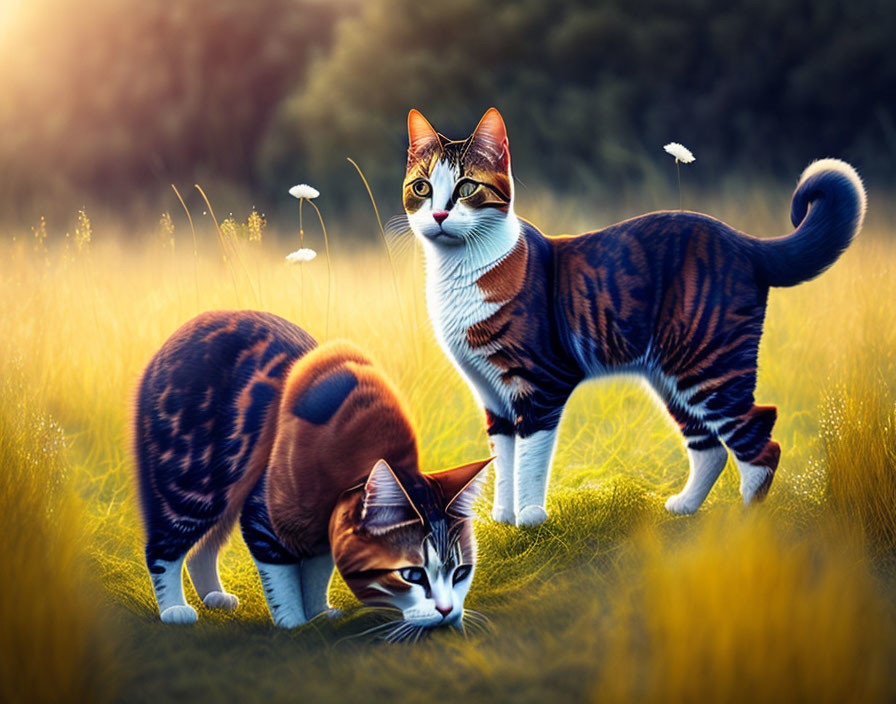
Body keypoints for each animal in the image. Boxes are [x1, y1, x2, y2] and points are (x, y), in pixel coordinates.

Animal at [135, 310, 490, 636]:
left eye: (461, 573)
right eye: (413, 575)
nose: (447, 612)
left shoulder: (322, 532)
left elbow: (316, 574)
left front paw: (318, 614)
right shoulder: (266, 516)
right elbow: (282, 577)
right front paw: (293, 622)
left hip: (227, 492)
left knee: (202, 549)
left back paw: (214, 595)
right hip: (196, 484)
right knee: (163, 549)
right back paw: (175, 608)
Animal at [402, 107, 864, 524]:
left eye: (466, 188)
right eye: (422, 188)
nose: (439, 215)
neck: (457, 274)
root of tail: (745, 241)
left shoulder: (543, 381)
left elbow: (530, 458)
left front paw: (530, 516)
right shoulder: (492, 395)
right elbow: (504, 459)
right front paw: (502, 517)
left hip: (709, 364)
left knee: (761, 437)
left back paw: (749, 525)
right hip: (673, 374)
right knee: (710, 446)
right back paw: (684, 507)